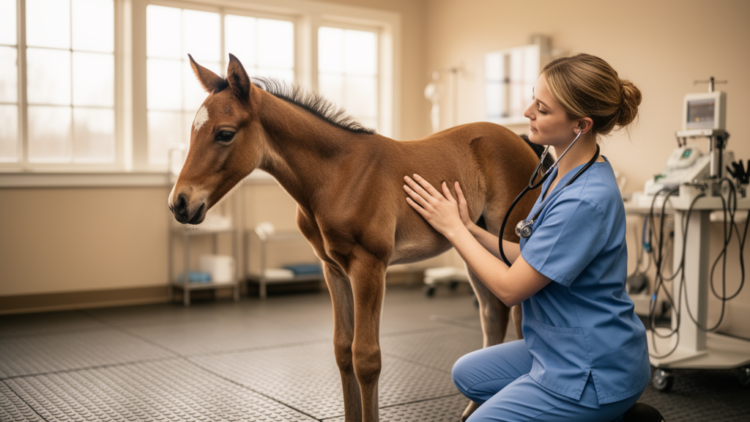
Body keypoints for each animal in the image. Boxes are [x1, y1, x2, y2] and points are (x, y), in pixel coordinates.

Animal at [169, 54, 546, 422]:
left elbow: (366, 357)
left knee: (518, 317)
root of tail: (522, 141)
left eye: (225, 134)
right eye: (193, 131)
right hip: (476, 245)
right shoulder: (333, 268)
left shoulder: (369, 266)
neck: (337, 175)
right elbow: (342, 350)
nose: (179, 203)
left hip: (507, 242)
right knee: (493, 313)